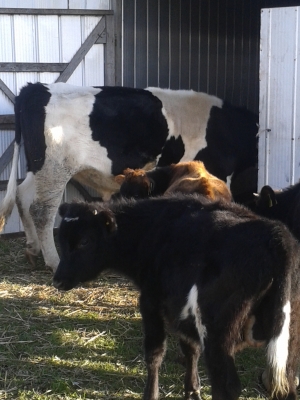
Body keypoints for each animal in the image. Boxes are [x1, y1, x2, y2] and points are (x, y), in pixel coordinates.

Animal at [0, 82, 258, 270]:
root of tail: (36, 87)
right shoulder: (218, 172)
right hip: (55, 169)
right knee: (42, 210)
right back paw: (53, 261)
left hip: (39, 168)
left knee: (22, 196)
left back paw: (33, 249)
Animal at [54, 195, 300, 400]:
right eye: (61, 239)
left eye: (84, 241)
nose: (57, 280)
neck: (153, 230)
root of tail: (277, 233)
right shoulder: (181, 311)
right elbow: (190, 350)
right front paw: (192, 391)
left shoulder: (151, 302)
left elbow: (154, 354)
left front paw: (151, 394)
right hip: (288, 337)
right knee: (286, 383)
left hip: (218, 333)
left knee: (227, 387)